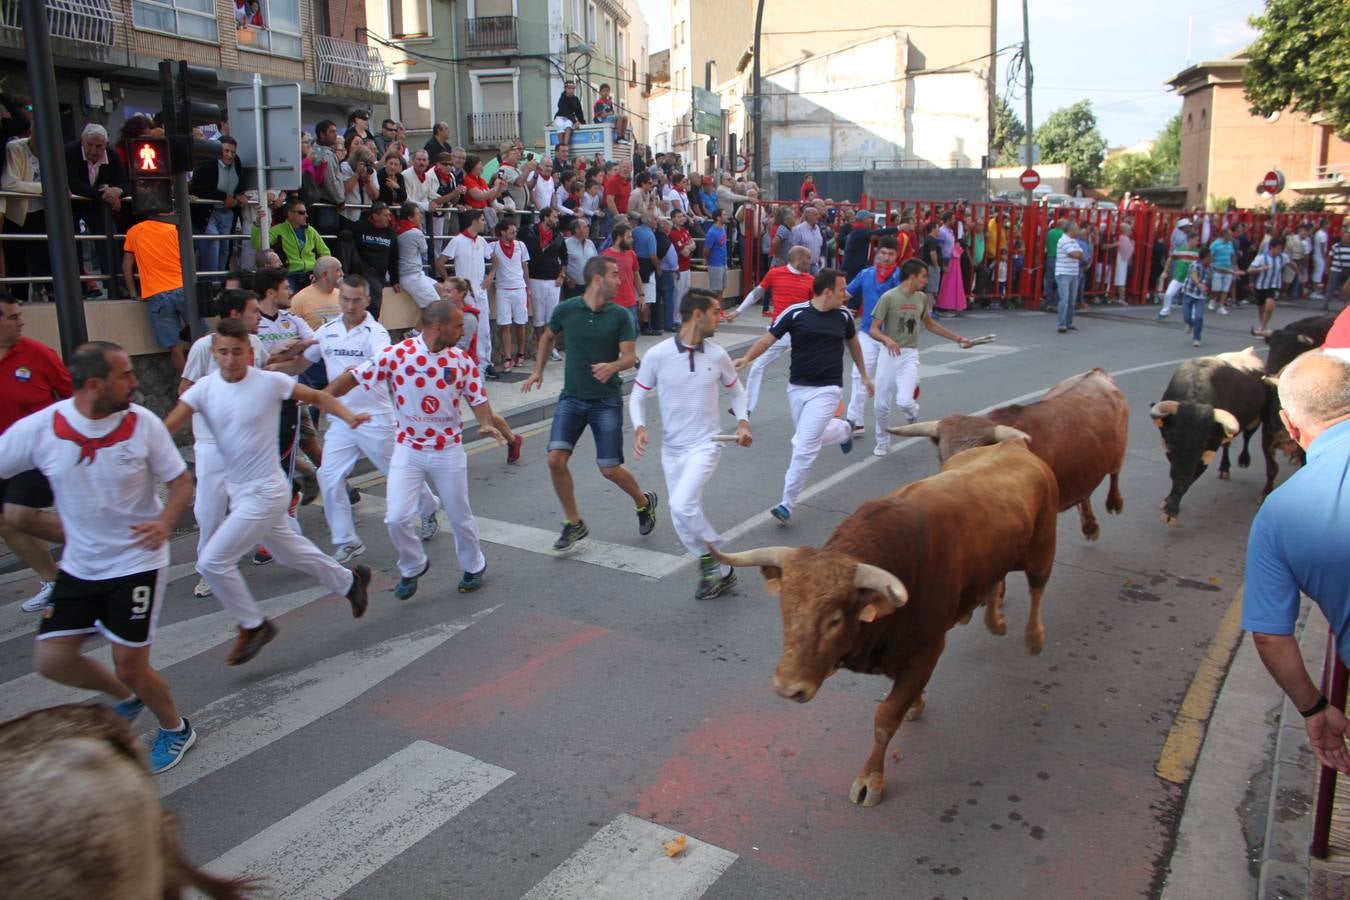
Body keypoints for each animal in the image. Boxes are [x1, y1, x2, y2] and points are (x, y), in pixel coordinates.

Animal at [712, 437, 1058, 809]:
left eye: (834, 619)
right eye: (785, 610)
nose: (788, 687)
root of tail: (1012, 443)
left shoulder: (928, 649)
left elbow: (885, 718)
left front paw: (870, 780)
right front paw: (916, 704)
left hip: (1042, 549)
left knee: (1037, 588)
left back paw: (1034, 638)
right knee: (996, 581)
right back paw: (995, 621)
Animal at [885, 367, 1128, 539]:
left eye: (977, 456)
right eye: (941, 457)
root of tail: (1096, 373)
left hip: (1120, 449)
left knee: (1115, 473)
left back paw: (1114, 503)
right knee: (1085, 493)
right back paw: (1089, 526)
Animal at [1150, 348, 1274, 528]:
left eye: (1204, 441)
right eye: (1173, 436)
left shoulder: (1209, 450)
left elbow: (1189, 479)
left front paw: (1171, 510)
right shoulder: (1168, 447)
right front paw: (1168, 501)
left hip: (1257, 419)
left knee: (1247, 437)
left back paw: (1243, 459)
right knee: (1228, 444)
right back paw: (1224, 468)